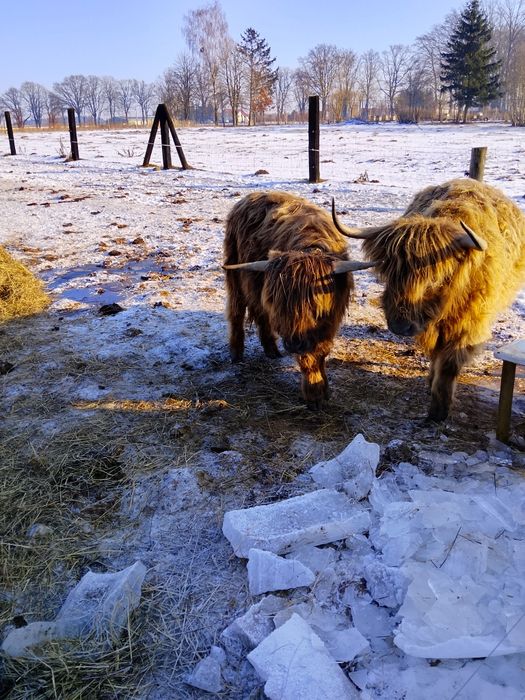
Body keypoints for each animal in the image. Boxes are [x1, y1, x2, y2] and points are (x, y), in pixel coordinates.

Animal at [223, 190, 376, 409]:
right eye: (281, 305)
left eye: (314, 306)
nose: (294, 344)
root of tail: (249, 197)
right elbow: (308, 359)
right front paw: (314, 394)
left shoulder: (329, 320)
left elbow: (321, 351)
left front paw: (323, 388)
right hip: (234, 270)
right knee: (236, 309)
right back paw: (236, 353)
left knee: (261, 313)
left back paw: (271, 350)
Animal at [331, 178, 525, 422]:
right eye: (388, 273)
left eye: (435, 278)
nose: (400, 326)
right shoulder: (430, 327)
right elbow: (436, 353)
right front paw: (433, 387)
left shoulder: (470, 324)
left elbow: (449, 364)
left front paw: (439, 410)